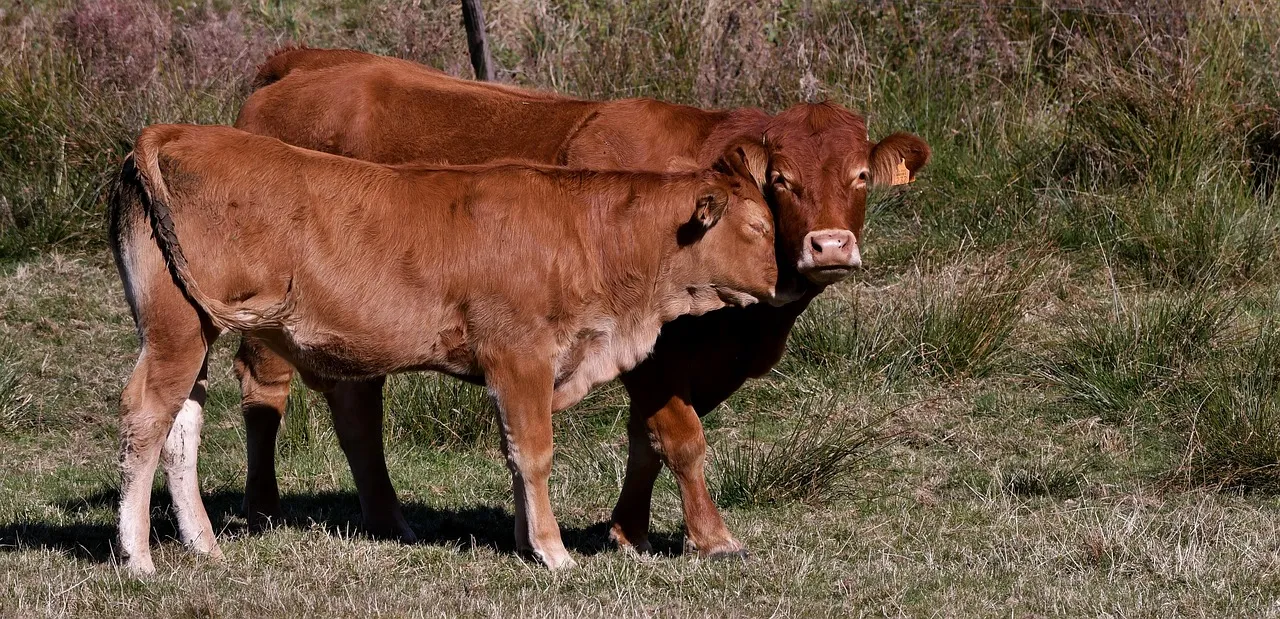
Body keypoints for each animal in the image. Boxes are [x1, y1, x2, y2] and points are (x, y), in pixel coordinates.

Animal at [109, 123, 778, 574]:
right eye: (759, 227)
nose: (778, 283)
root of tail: (173, 133)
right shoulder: (521, 357)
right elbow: (534, 452)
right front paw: (554, 551)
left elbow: (512, 453)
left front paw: (524, 541)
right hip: (176, 331)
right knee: (146, 416)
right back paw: (138, 555)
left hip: (193, 335)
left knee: (182, 427)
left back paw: (203, 544)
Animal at [227, 47, 931, 558]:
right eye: (782, 181)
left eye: (859, 177)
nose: (830, 245)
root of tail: (308, 61)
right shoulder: (654, 353)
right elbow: (679, 437)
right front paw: (711, 537)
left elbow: (644, 439)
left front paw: (626, 530)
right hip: (269, 320)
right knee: (265, 394)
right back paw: (263, 507)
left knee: (357, 408)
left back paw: (387, 518)